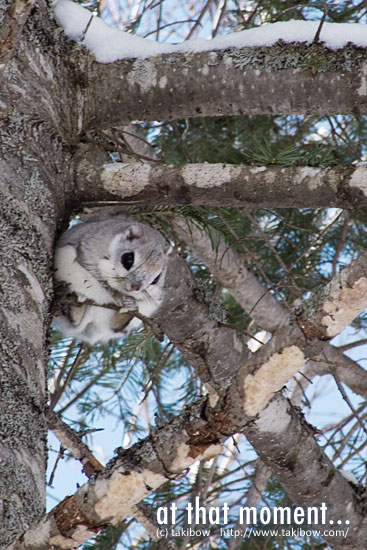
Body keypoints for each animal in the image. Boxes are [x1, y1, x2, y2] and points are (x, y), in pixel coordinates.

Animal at [53, 211, 172, 344]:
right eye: (128, 259)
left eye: (156, 279)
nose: (135, 287)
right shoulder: (88, 250)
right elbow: (100, 279)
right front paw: (117, 296)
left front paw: (127, 299)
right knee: (74, 320)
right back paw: (78, 303)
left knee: (116, 327)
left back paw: (128, 310)